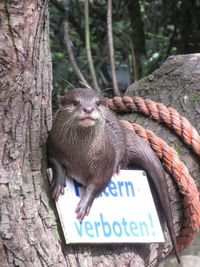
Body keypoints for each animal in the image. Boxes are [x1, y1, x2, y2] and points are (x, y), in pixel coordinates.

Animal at [47, 88, 180, 264]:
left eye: (97, 103)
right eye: (75, 102)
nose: (88, 108)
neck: (80, 158)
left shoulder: (105, 162)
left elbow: (99, 183)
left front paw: (84, 204)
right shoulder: (52, 145)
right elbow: (54, 161)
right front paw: (58, 183)